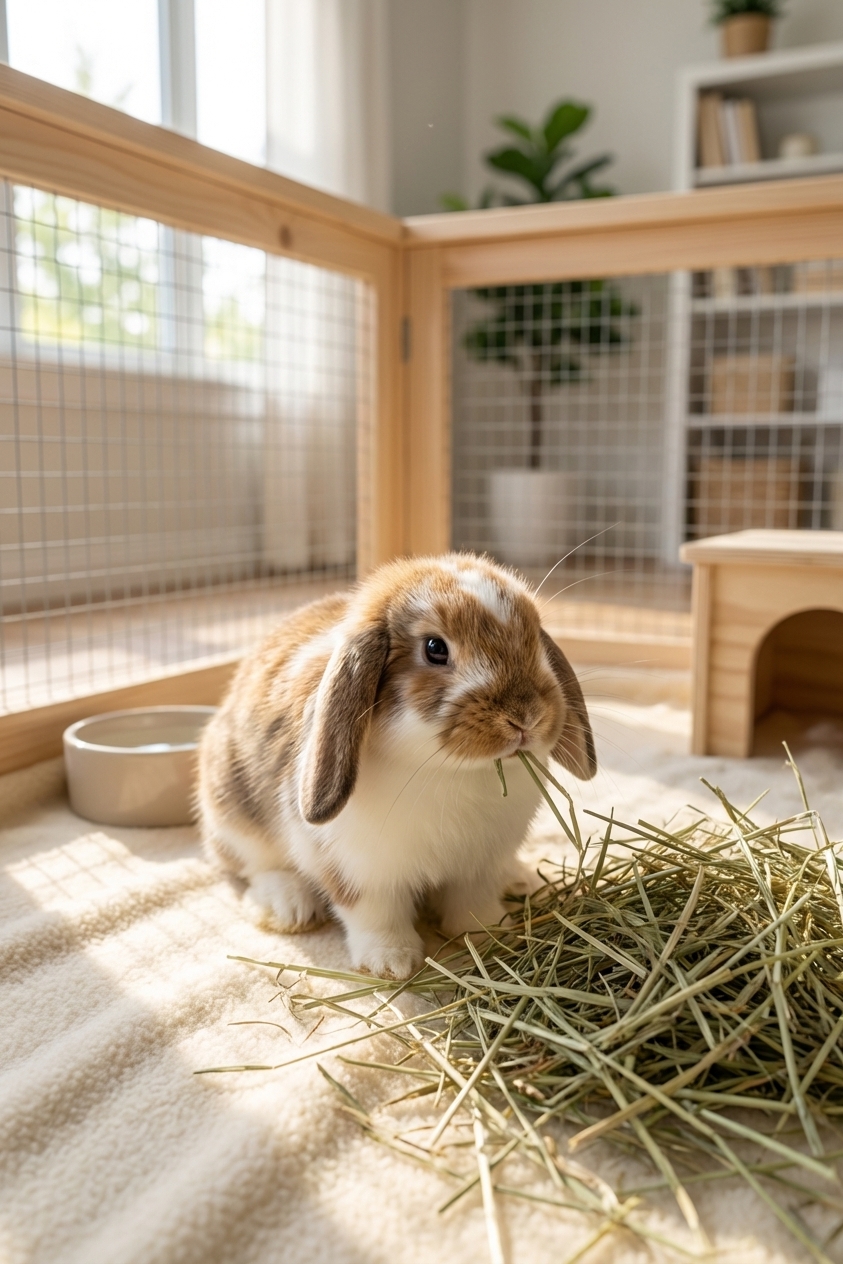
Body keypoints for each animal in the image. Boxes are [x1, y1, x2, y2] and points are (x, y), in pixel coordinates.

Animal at [197, 552, 596, 979]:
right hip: (233, 814)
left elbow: (472, 906)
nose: (525, 717)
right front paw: (392, 963)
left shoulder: (478, 867)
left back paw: (520, 879)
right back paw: (288, 905)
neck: (452, 770)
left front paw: (492, 935)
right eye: (435, 648)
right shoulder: (358, 870)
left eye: (534, 637)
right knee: (254, 865)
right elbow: (374, 914)